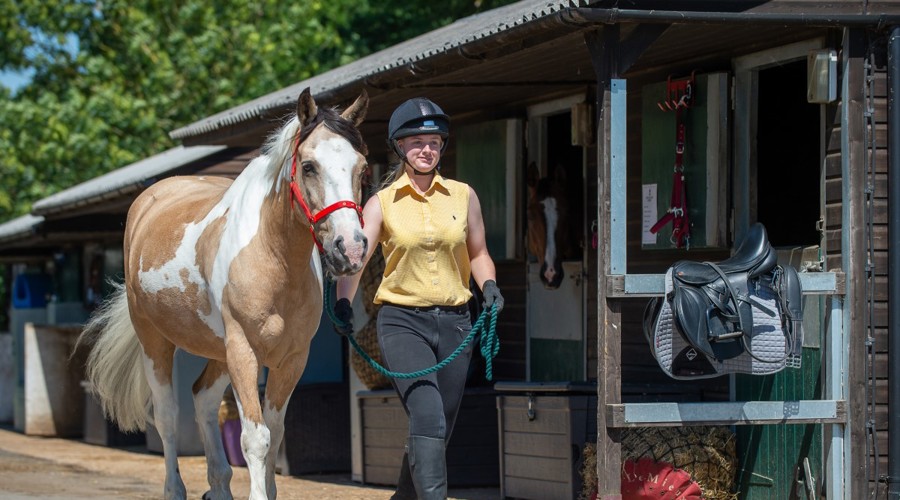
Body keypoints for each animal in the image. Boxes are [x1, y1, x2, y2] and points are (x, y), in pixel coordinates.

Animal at [77, 87, 369, 500]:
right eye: (310, 166)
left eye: (362, 168)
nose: (351, 249)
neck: (273, 258)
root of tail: (148, 201)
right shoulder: (244, 351)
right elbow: (256, 438)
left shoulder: (292, 358)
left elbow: (275, 433)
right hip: (156, 341)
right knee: (167, 417)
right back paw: (175, 489)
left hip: (217, 350)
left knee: (203, 399)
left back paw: (218, 485)